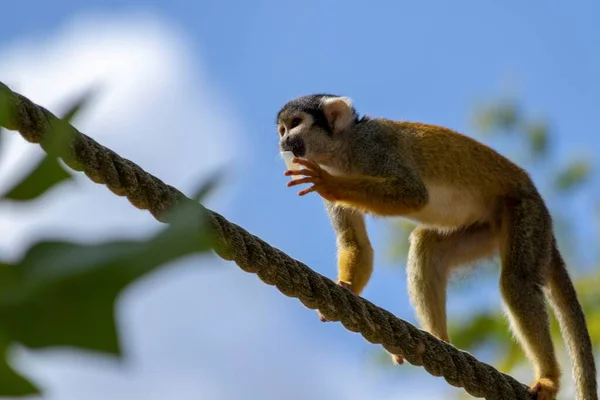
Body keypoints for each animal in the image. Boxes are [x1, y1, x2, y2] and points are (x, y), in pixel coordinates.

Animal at [276, 94, 596, 400]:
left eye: (295, 123)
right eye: (282, 129)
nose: (282, 141)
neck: (341, 151)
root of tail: (544, 215)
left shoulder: (373, 146)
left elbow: (413, 194)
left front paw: (330, 183)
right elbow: (356, 243)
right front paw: (345, 288)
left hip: (525, 211)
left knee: (516, 282)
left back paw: (549, 378)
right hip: (489, 227)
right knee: (428, 247)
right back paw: (438, 340)